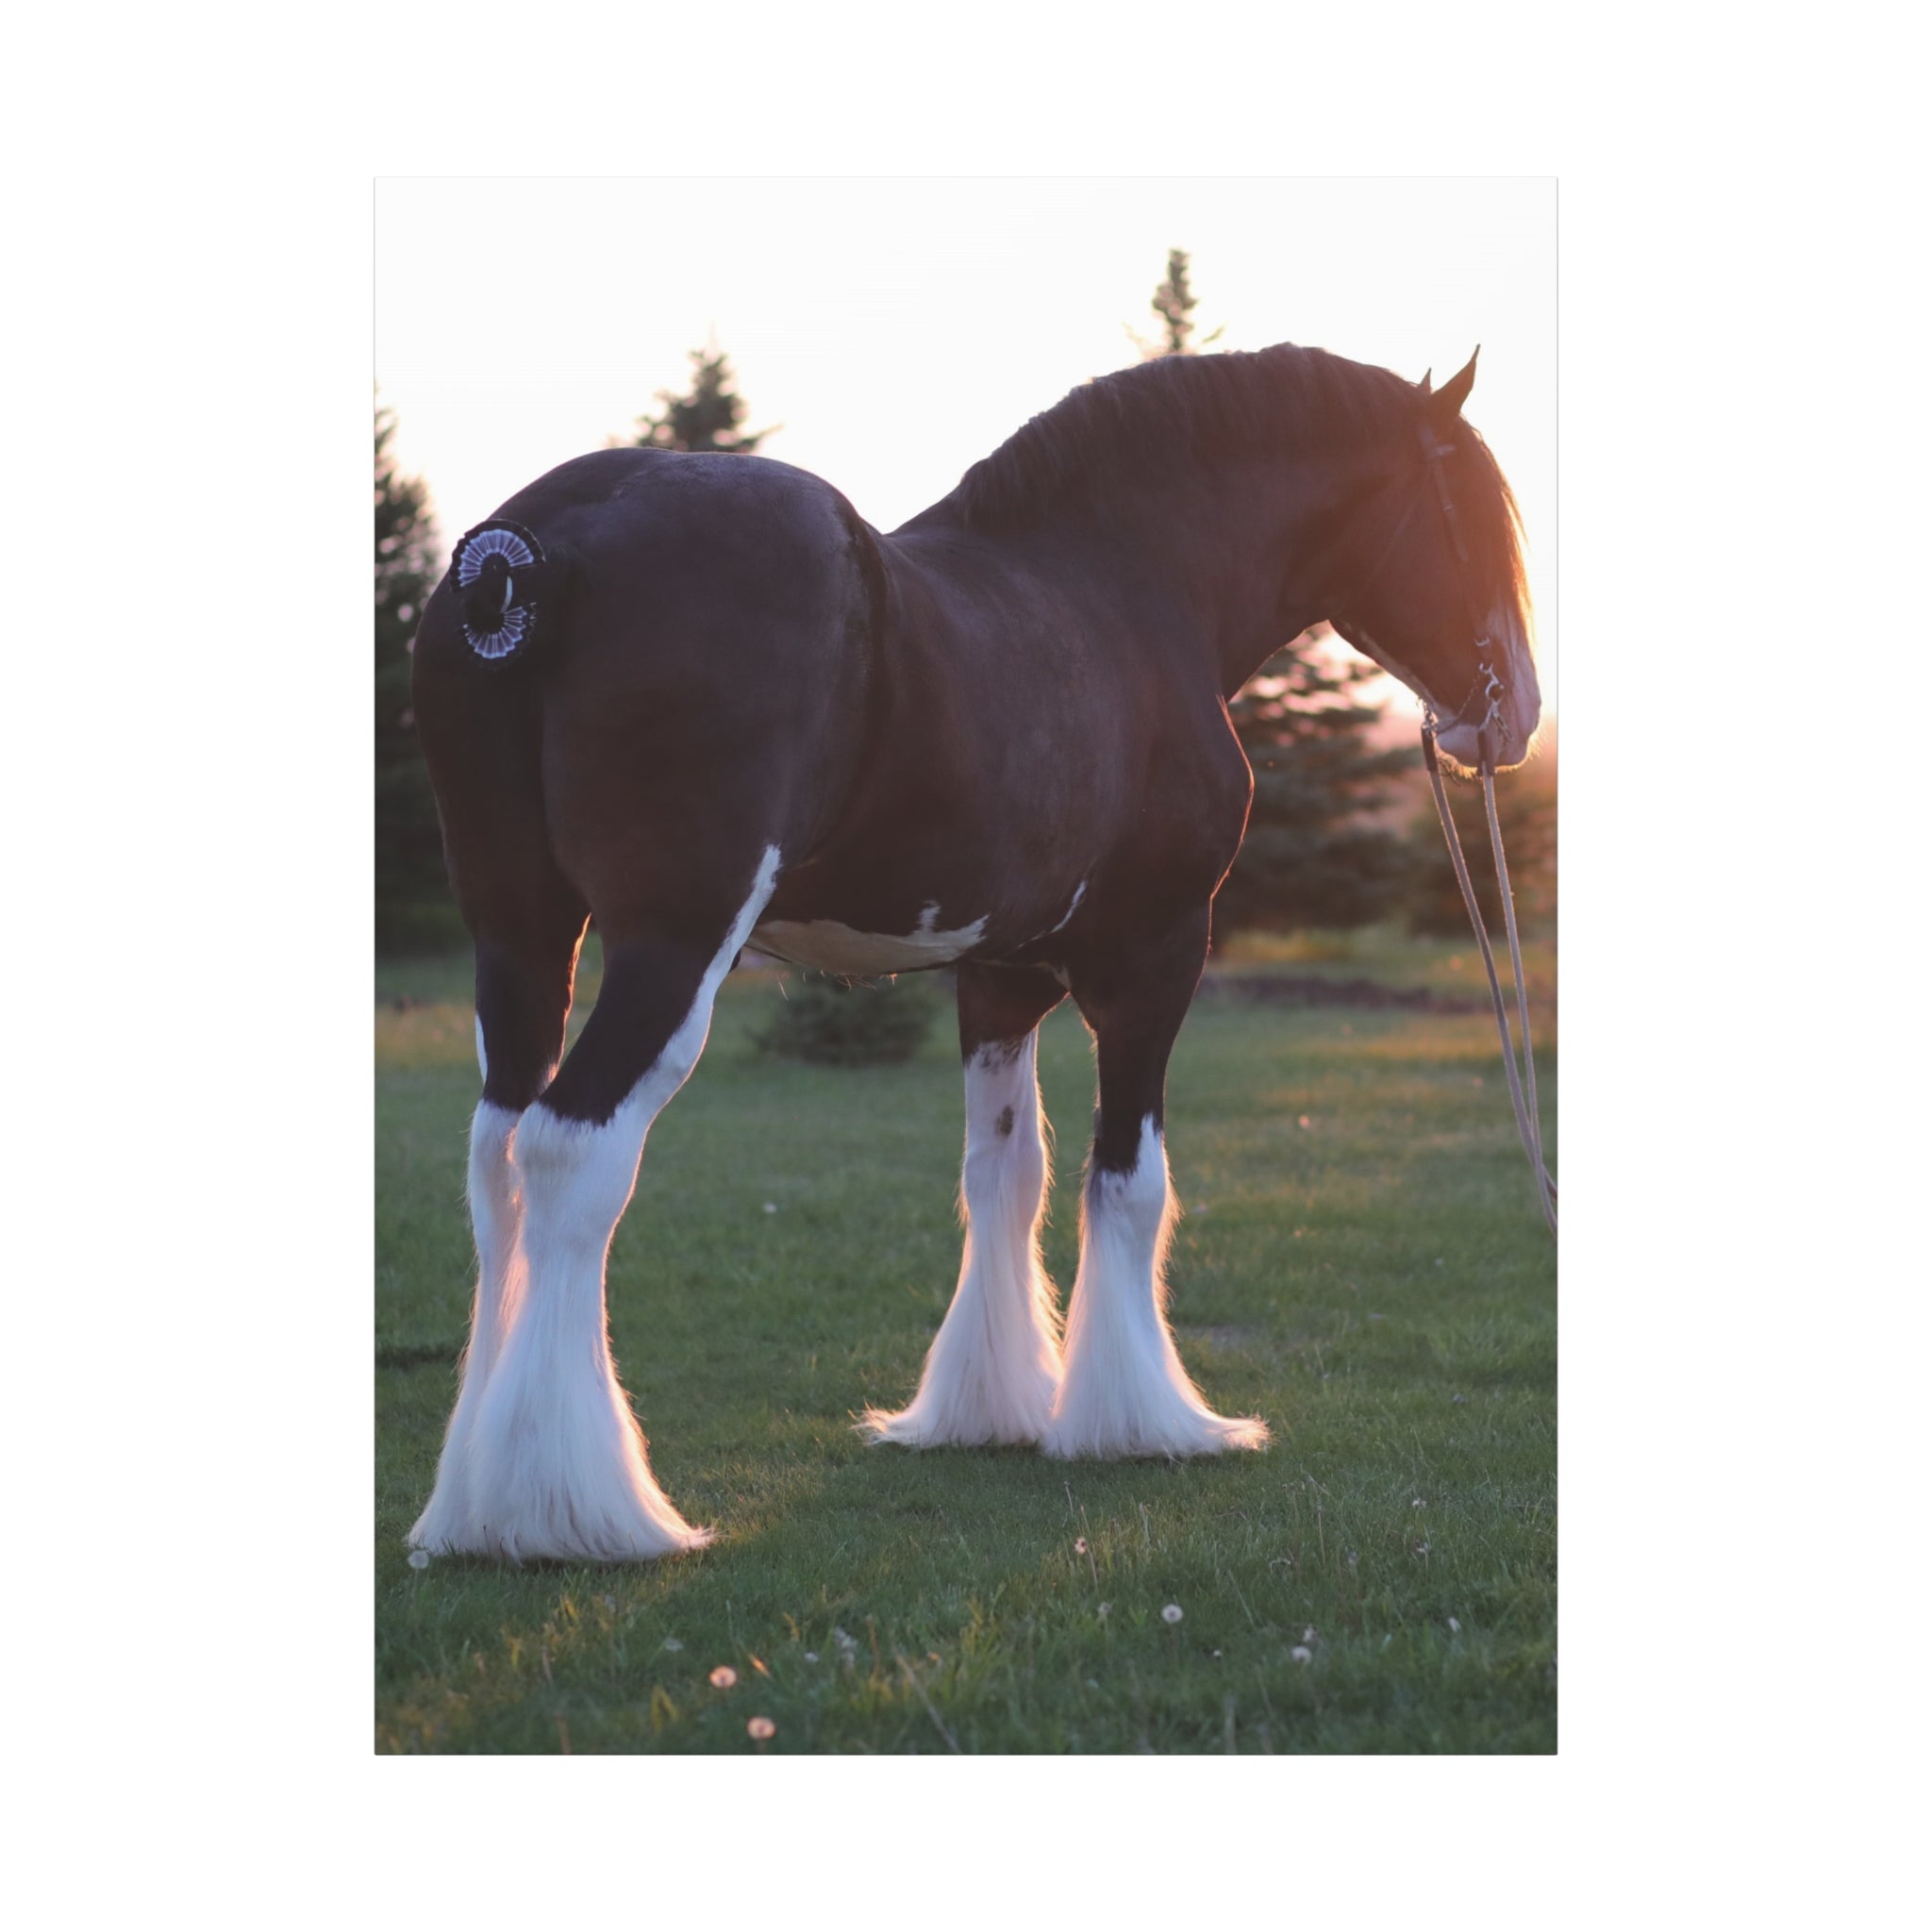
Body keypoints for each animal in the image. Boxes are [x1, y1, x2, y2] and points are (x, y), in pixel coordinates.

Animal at [404, 342, 1540, 1563]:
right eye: (1475, 512)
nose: (1515, 714)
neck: (1121, 590)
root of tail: (532, 550)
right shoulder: (1155, 954)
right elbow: (1127, 1180)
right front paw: (1140, 1421)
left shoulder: (999, 975)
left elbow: (1004, 1172)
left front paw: (987, 1407)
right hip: (671, 945)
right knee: (573, 1151)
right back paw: (571, 1509)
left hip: (520, 933)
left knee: (496, 1157)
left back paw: (469, 1504)